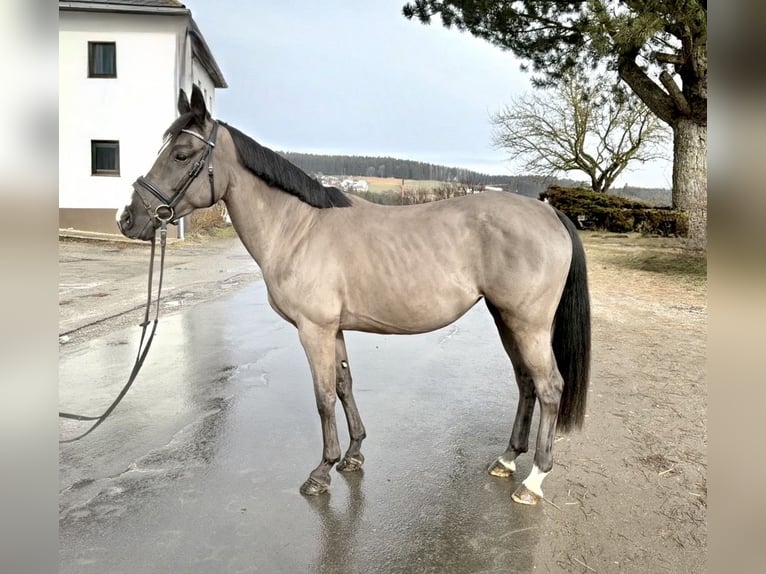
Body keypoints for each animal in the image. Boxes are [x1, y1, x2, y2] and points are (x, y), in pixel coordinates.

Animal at [117, 85, 591, 505]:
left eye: (181, 154)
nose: (129, 218)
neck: (297, 227)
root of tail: (550, 213)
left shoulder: (314, 331)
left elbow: (324, 397)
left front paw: (321, 471)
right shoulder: (334, 330)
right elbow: (345, 385)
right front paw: (354, 454)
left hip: (528, 324)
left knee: (549, 387)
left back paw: (533, 481)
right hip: (505, 318)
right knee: (526, 382)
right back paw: (508, 459)